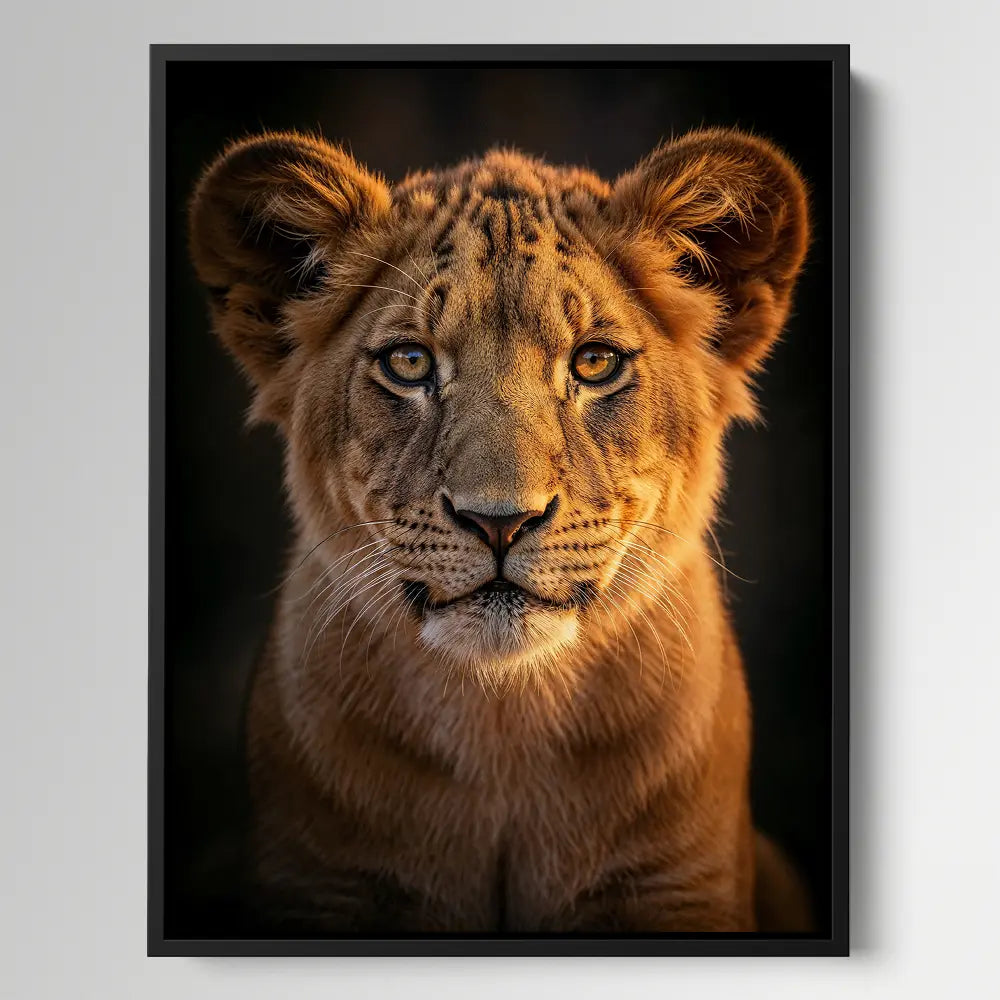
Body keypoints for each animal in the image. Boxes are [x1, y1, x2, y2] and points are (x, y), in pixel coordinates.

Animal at [188, 126, 811, 934]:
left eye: (595, 362)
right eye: (409, 362)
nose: (500, 521)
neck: (503, 724)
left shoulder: (674, 884)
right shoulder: (326, 881)